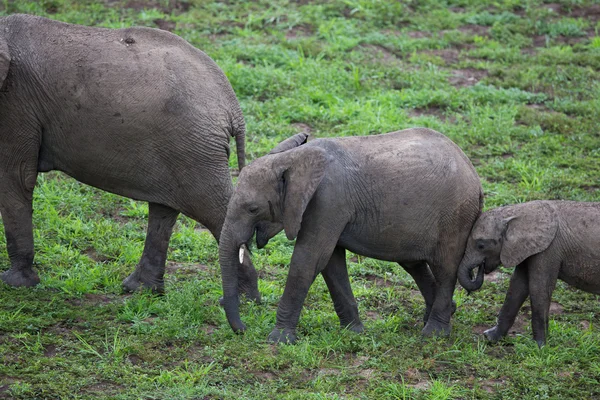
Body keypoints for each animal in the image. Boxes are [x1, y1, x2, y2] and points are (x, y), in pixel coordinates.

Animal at [2, 12, 260, 300]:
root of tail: (233, 107)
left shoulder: (15, 102)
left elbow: (15, 176)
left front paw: (15, 284)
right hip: (182, 147)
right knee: (165, 209)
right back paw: (141, 290)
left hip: (194, 147)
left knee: (213, 211)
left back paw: (245, 300)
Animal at [220, 128, 482, 344]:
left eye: (252, 209)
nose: (243, 329)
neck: (293, 159)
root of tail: (474, 174)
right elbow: (331, 263)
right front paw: (353, 332)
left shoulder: (329, 201)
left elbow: (309, 259)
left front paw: (278, 340)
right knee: (413, 264)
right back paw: (441, 315)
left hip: (455, 217)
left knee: (445, 269)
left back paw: (433, 333)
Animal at [460, 202, 600, 346]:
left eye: (481, 245)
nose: (480, 268)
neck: (516, 212)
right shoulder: (525, 249)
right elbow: (517, 288)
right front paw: (490, 337)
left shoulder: (548, 249)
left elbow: (538, 289)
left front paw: (540, 346)